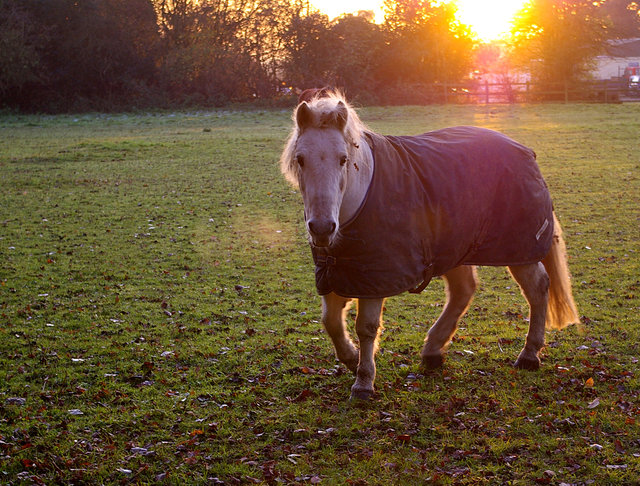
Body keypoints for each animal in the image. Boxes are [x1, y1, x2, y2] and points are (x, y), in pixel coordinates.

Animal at [280, 90, 580, 398]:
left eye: (343, 159)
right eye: (300, 159)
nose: (322, 227)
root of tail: (525, 150)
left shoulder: (376, 277)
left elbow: (366, 327)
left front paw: (363, 382)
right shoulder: (337, 272)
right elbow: (330, 321)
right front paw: (352, 358)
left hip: (519, 251)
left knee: (537, 287)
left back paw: (529, 355)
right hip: (455, 250)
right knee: (464, 290)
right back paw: (433, 350)